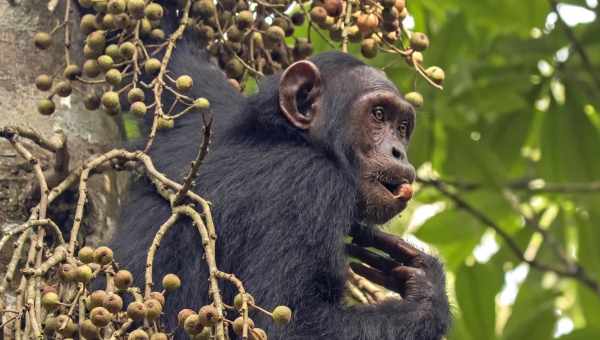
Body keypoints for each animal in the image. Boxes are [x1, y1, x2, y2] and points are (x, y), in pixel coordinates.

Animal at [111, 21, 450, 340]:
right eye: (378, 114)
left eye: (402, 127)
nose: (398, 151)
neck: (284, 136)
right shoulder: (311, 187)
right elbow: (287, 322)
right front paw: (427, 291)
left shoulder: (204, 107)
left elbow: (162, 50)